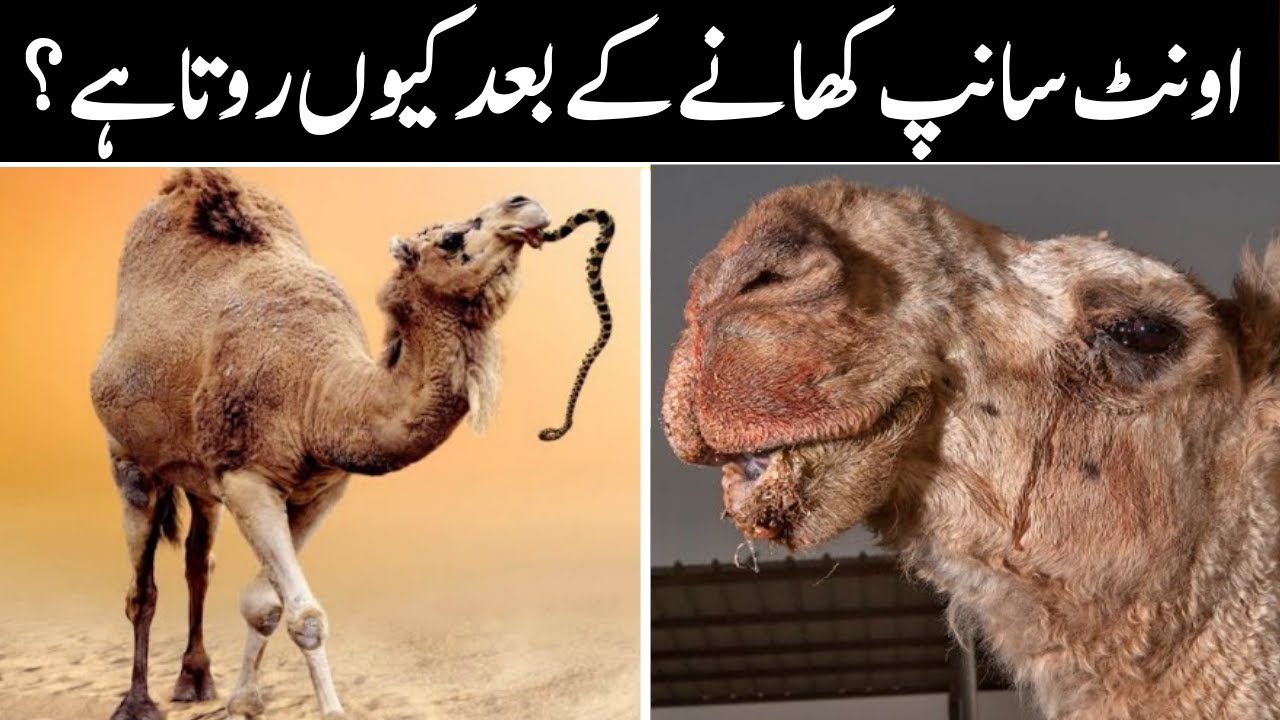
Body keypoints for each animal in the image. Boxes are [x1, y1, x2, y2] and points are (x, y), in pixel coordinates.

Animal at [89, 168, 550, 720]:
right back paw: (137, 701)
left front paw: (245, 700)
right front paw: (328, 709)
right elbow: (304, 615)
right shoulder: (248, 478)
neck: (319, 395)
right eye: (451, 239)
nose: (524, 203)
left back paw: (195, 680)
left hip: (199, 476)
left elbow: (265, 605)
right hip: (128, 457)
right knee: (142, 586)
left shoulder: (321, 488)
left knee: (199, 563)